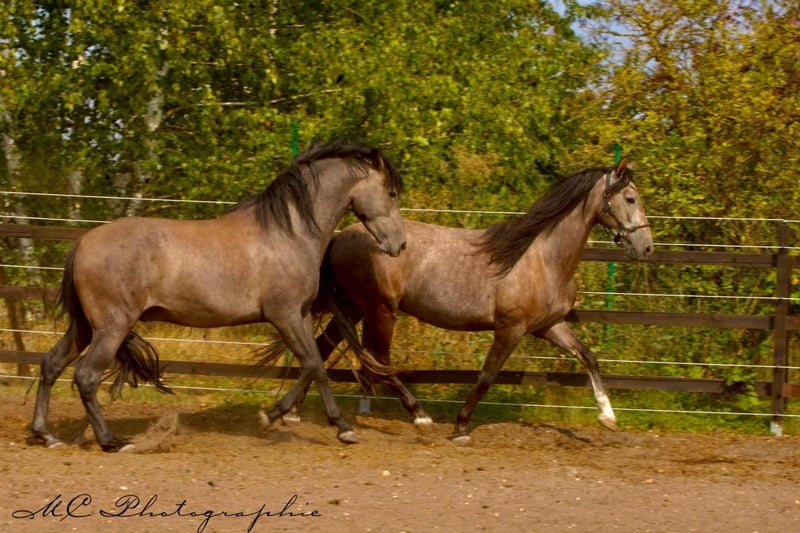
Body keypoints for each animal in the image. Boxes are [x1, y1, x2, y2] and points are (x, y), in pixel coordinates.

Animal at [30, 141, 407, 451]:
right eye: (390, 193)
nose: (400, 245)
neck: (289, 233)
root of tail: (83, 243)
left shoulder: (297, 314)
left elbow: (317, 366)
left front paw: (343, 428)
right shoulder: (283, 315)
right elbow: (312, 364)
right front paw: (271, 416)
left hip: (84, 327)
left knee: (51, 364)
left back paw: (45, 435)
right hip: (111, 327)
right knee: (86, 376)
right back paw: (111, 441)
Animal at [272, 158, 653, 442]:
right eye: (630, 199)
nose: (646, 247)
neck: (542, 257)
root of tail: (340, 237)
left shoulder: (548, 326)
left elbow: (589, 357)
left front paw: (608, 416)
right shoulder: (510, 328)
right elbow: (486, 376)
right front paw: (461, 425)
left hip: (353, 309)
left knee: (323, 348)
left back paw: (295, 414)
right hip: (379, 310)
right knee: (378, 361)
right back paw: (420, 416)